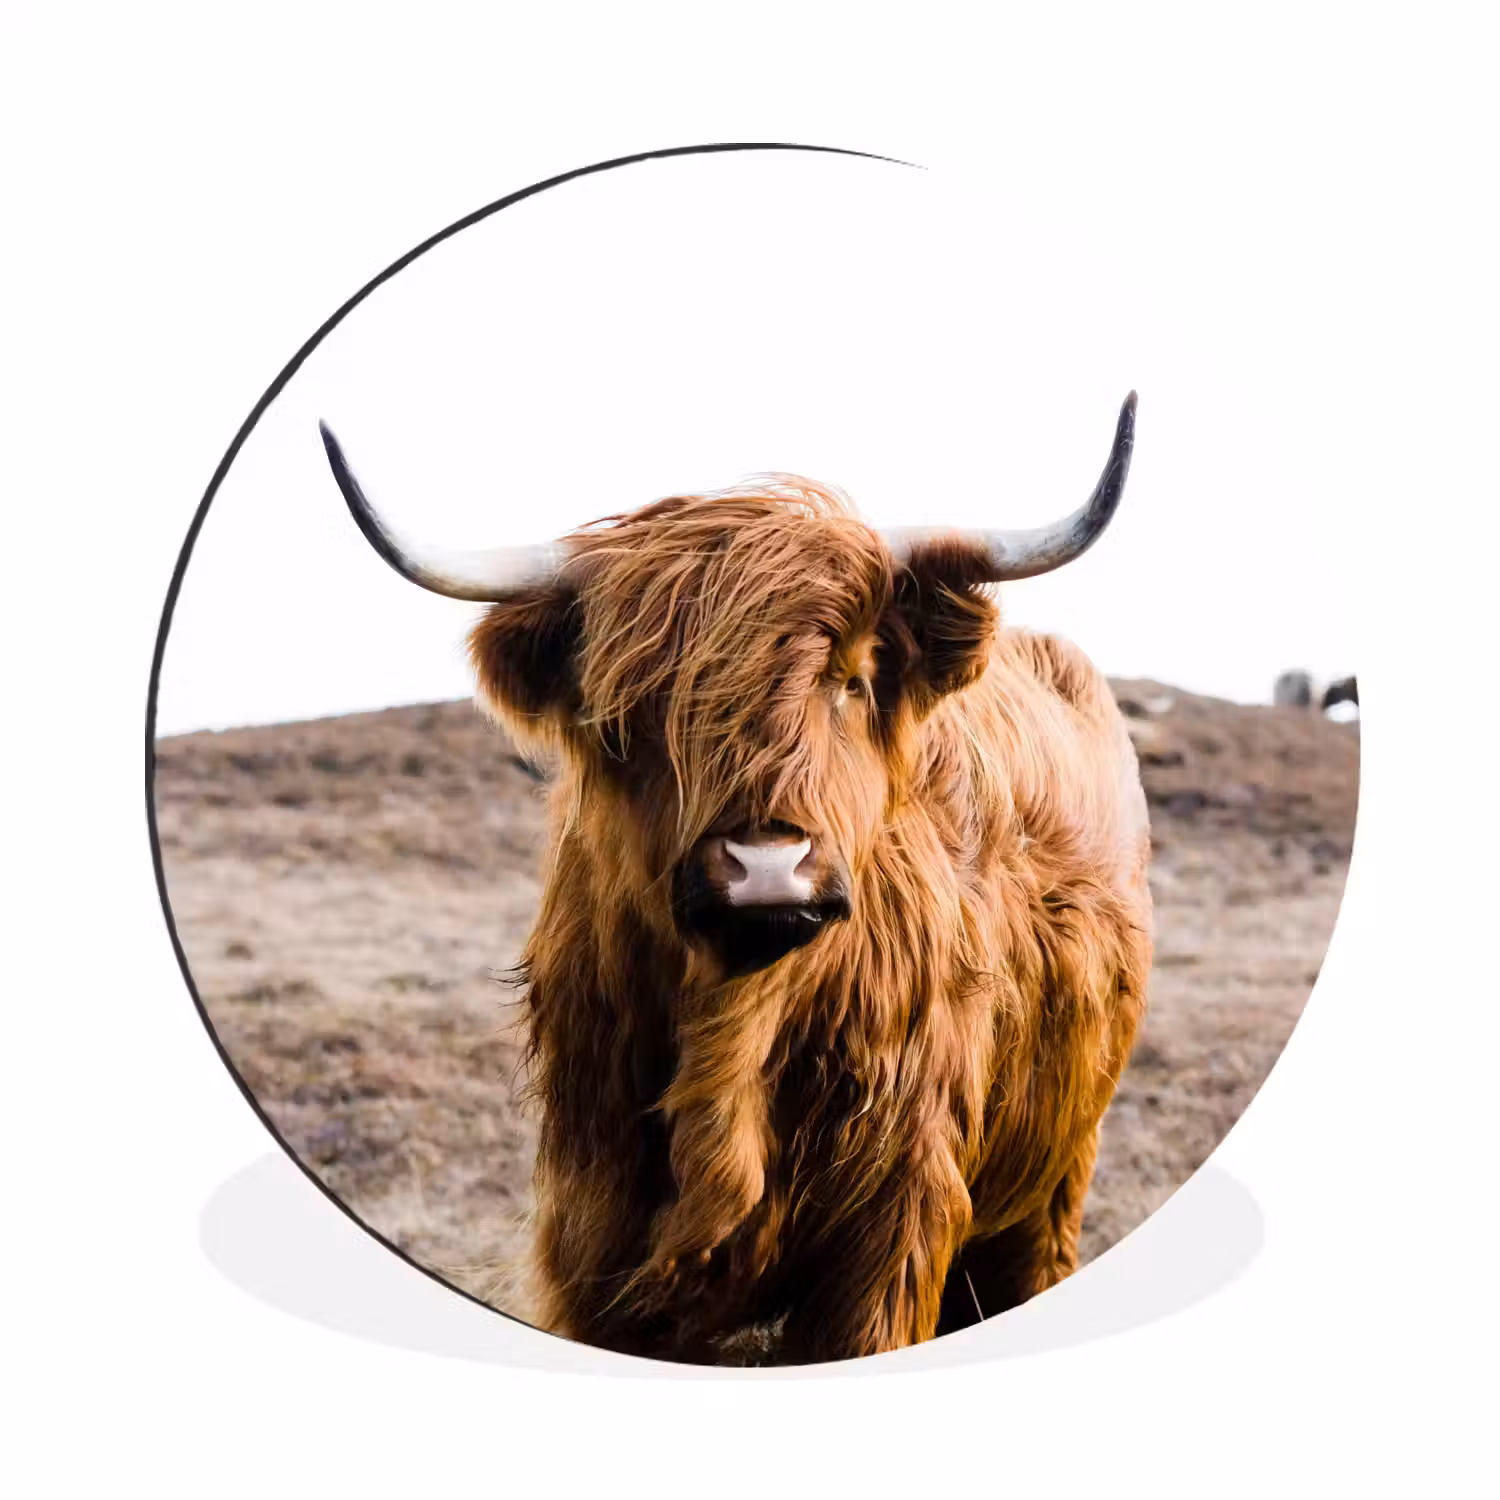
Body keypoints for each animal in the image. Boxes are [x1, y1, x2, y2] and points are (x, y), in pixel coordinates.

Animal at [318, 393, 1153, 1364]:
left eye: (851, 679)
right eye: (632, 709)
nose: (766, 867)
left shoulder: (891, 1231)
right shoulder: (594, 1227)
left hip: (1055, 1174)